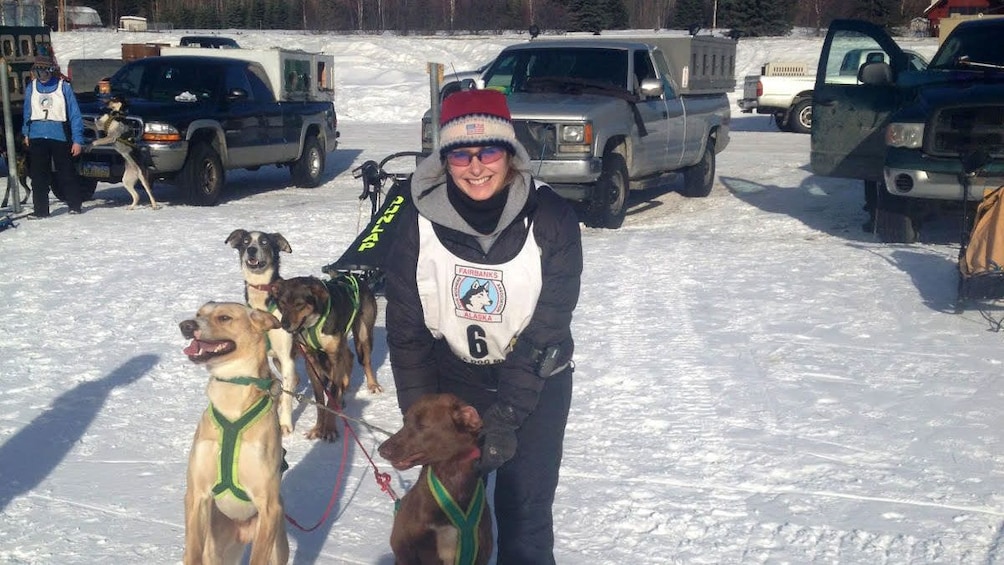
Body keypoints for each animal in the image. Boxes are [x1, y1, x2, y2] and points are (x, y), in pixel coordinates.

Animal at [178, 303, 289, 565]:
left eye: (224, 317)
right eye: (199, 314)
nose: (186, 325)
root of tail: (243, 532)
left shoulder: (269, 506)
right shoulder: (196, 496)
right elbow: (192, 551)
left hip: (277, 545)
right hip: (217, 549)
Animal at [227, 229, 301, 437]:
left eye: (265, 242)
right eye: (245, 241)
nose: (251, 250)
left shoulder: (287, 358)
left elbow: (287, 396)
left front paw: (285, 424)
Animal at [267, 274, 379, 441]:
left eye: (299, 304)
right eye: (282, 303)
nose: (284, 324)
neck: (314, 323)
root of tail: (354, 276)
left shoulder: (334, 358)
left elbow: (331, 396)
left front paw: (330, 429)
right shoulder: (311, 361)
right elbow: (320, 400)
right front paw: (318, 428)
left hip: (363, 335)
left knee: (365, 361)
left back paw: (373, 385)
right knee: (349, 356)